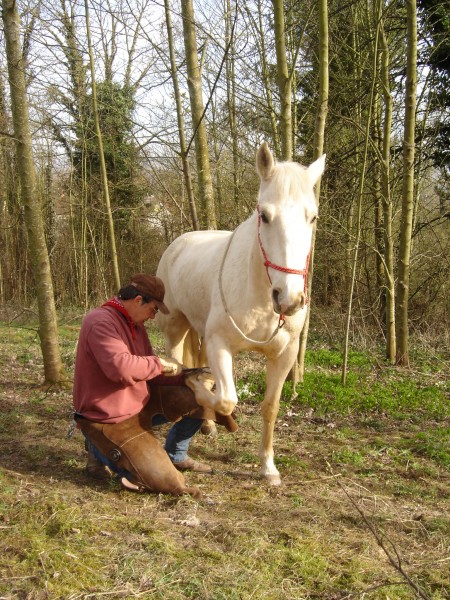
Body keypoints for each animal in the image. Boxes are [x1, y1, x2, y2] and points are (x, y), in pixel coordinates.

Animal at [156, 143, 326, 486]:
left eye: (312, 217)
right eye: (265, 216)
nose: (289, 298)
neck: (260, 296)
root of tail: (178, 243)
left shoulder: (284, 356)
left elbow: (270, 407)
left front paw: (268, 468)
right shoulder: (220, 345)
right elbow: (227, 398)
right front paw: (201, 392)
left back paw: (207, 423)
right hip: (176, 327)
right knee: (178, 364)